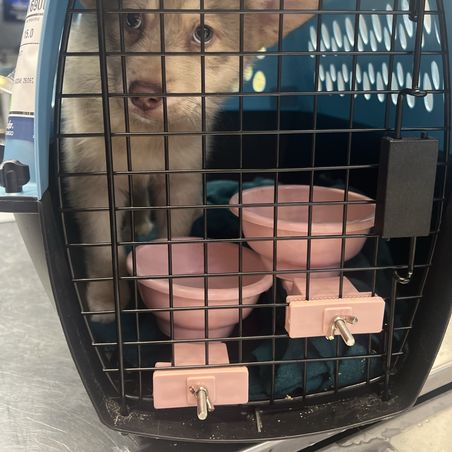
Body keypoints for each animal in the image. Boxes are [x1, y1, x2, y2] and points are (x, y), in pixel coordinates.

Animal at [62, 0, 317, 322]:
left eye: (203, 33)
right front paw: (107, 298)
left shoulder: (181, 179)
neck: (147, 134)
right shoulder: (93, 181)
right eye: (131, 20)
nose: (143, 95)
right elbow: (102, 247)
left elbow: (175, 234)